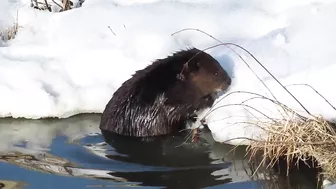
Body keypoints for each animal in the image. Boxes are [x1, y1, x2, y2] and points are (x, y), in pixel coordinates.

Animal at [98, 48, 232, 138]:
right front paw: (210, 98)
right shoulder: (168, 97)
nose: (229, 81)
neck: (175, 80)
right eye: (216, 73)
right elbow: (176, 110)